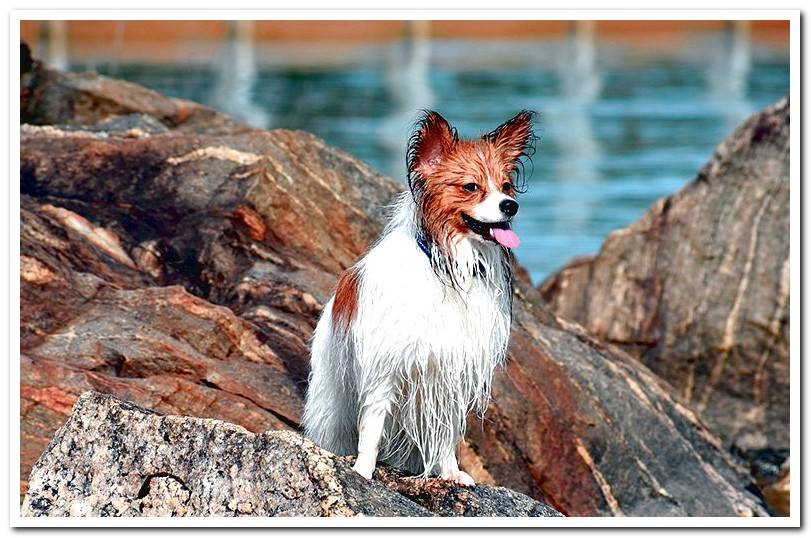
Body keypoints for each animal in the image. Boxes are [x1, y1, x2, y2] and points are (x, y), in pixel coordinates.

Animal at [302, 108, 536, 482]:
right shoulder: (385, 367)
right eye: (471, 187)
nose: (510, 206)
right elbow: (371, 428)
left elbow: (446, 433)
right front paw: (363, 471)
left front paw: (451, 473)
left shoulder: (451, 373)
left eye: (506, 187)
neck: (449, 263)